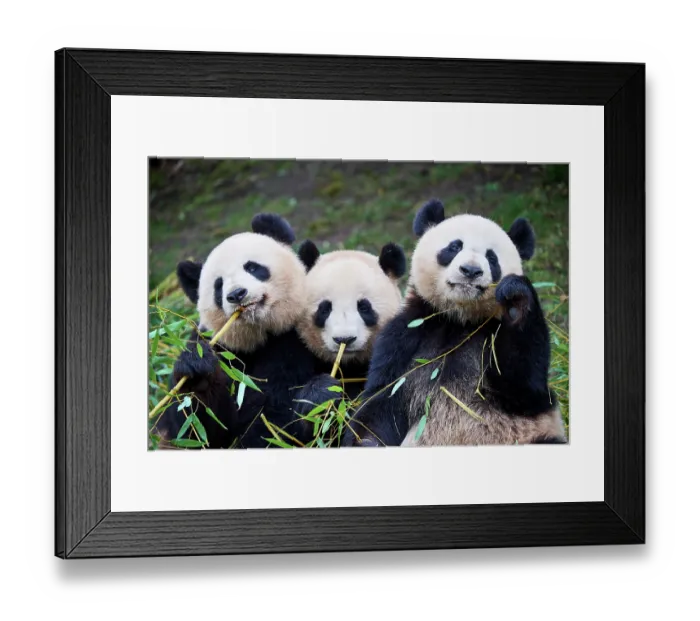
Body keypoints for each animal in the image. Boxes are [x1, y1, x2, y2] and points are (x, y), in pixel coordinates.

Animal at [154, 213, 320, 449]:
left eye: (252, 267)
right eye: (218, 285)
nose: (237, 294)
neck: (260, 335)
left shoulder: (297, 337)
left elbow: (275, 412)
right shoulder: (219, 346)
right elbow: (196, 431)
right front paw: (197, 372)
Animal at [342, 199, 567, 448]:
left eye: (492, 258)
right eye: (454, 247)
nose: (471, 271)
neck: (459, 320)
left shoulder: (491, 336)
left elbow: (525, 387)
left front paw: (516, 300)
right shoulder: (405, 337)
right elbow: (383, 399)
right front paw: (365, 442)